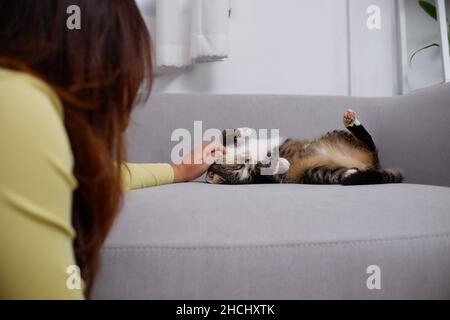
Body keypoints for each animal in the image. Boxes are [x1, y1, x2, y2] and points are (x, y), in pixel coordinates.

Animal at [205, 110, 404, 185]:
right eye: (239, 168)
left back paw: (351, 120)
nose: (248, 160)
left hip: (336, 133)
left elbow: (225, 133)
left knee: (368, 143)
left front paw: (243, 130)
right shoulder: (260, 177)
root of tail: (372, 165)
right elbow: (266, 169)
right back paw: (354, 172)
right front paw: (281, 162)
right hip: (316, 171)